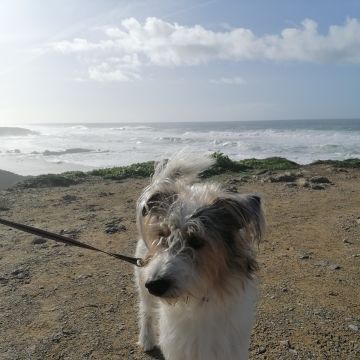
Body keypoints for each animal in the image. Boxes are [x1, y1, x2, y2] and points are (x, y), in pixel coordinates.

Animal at [135, 153, 264, 360]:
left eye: (196, 240)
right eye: (163, 235)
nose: (154, 285)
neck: (199, 297)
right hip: (142, 282)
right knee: (146, 311)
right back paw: (146, 339)